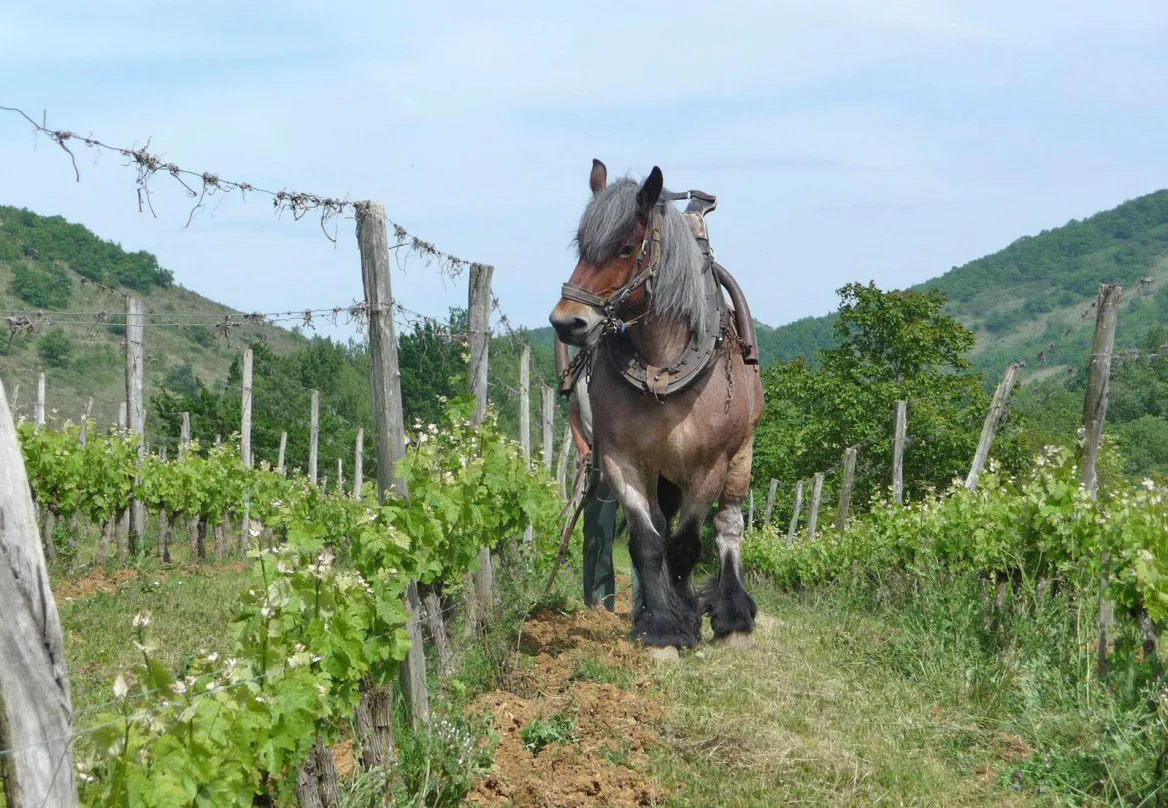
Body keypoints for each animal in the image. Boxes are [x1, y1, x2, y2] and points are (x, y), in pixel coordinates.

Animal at [549, 160, 764, 653]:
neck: (663, 370)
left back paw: (732, 613)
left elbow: (686, 545)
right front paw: (662, 625)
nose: (566, 322)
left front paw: (688, 616)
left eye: (627, 248)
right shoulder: (621, 460)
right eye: (582, 246)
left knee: (728, 525)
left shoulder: (709, 465)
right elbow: (648, 543)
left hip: (741, 455)